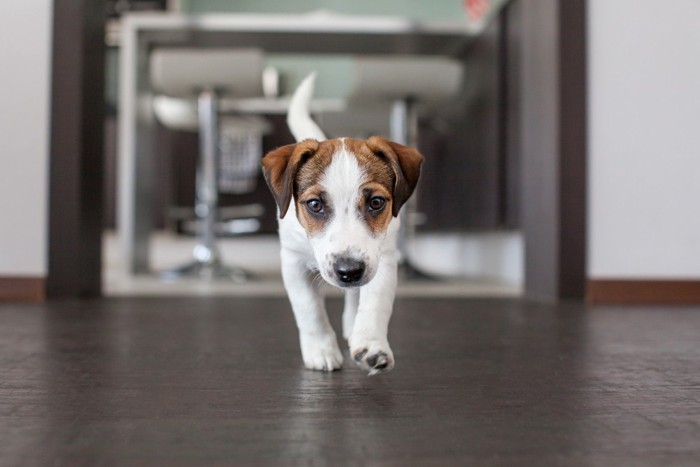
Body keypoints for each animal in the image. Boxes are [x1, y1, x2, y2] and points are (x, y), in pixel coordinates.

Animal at [262, 76, 424, 376]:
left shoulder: (382, 258)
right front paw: (321, 351)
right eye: (314, 204)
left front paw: (371, 345)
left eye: (376, 202)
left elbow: (374, 302)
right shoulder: (292, 261)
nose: (349, 272)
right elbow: (309, 309)